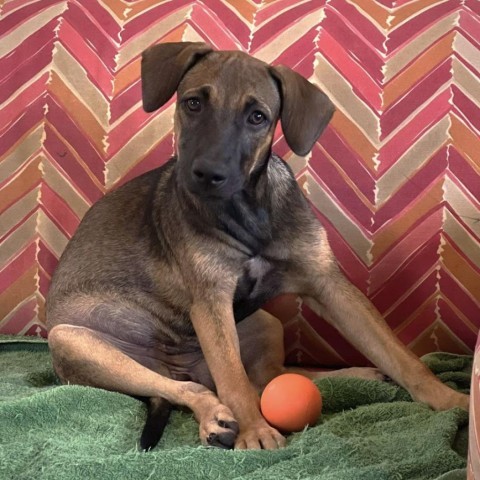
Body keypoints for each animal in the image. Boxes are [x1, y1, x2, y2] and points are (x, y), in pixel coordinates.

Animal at [46, 41, 468, 450]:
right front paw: (254, 432)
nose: (207, 174)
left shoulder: (328, 283)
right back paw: (214, 419)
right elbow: (234, 381)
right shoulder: (211, 301)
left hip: (264, 320)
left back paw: (357, 374)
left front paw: (450, 400)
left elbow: (399, 354)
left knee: (269, 378)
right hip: (73, 341)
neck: (248, 212)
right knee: (194, 387)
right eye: (193, 103)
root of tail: (180, 364)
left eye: (258, 117)